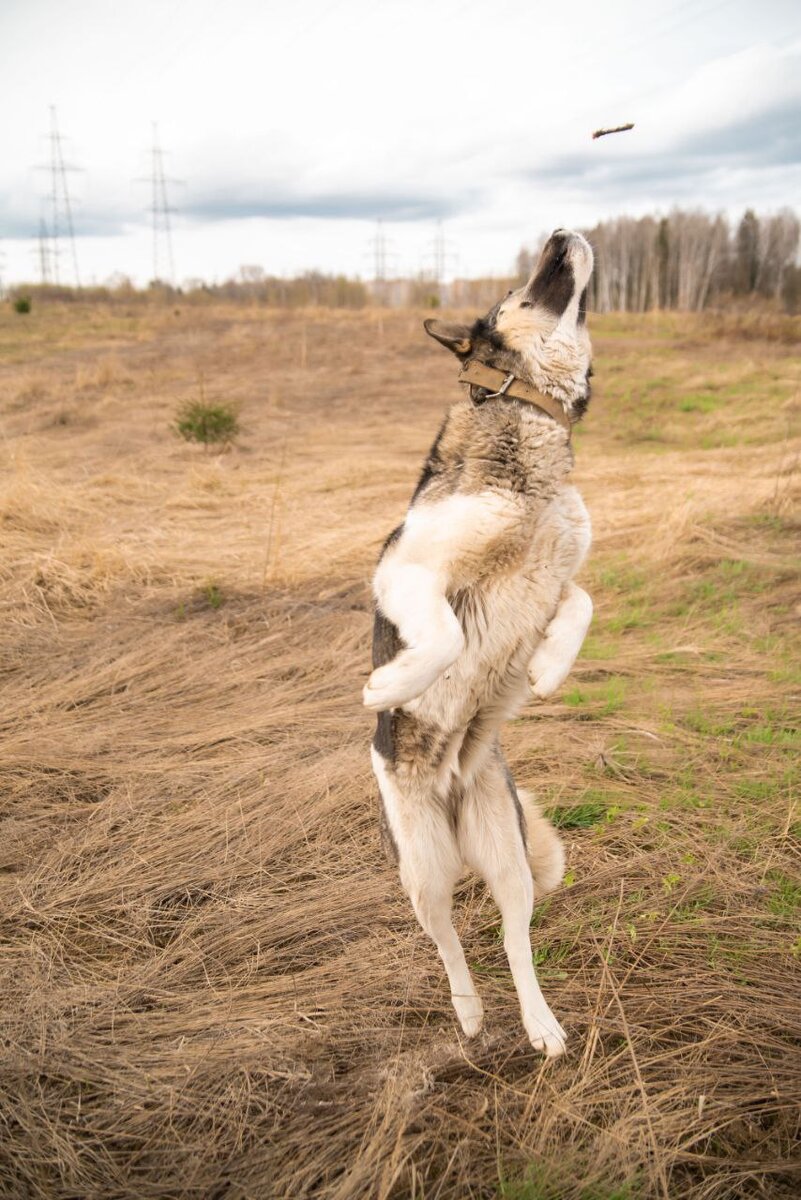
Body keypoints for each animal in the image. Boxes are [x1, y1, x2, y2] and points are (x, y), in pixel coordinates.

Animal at [366, 229, 592, 1056]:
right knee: (447, 943)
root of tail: (452, 784)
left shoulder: (559, 576)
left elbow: (582, 604)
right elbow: (438, 637)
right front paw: (390, 686)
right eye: (514, 292)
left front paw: (550, 668)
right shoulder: (405, 572)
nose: (563, 233)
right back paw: (467, 1012)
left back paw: (539, 1025)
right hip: (422, 870)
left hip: (508, 855)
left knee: (512, 938)